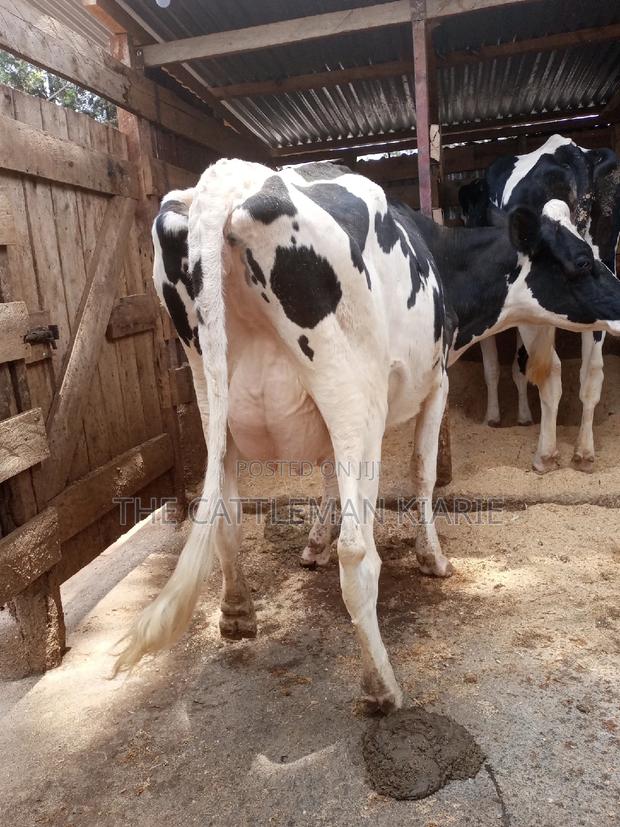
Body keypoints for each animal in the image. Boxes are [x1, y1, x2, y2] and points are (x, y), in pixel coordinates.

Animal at [459, 134, 620, 473]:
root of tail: (573, 153)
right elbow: (520, 364)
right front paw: (523, 416)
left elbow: (494, 365)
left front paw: (494, 417)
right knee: (592, 372)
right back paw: (584, 453)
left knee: (552, 371)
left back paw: (545, 454)